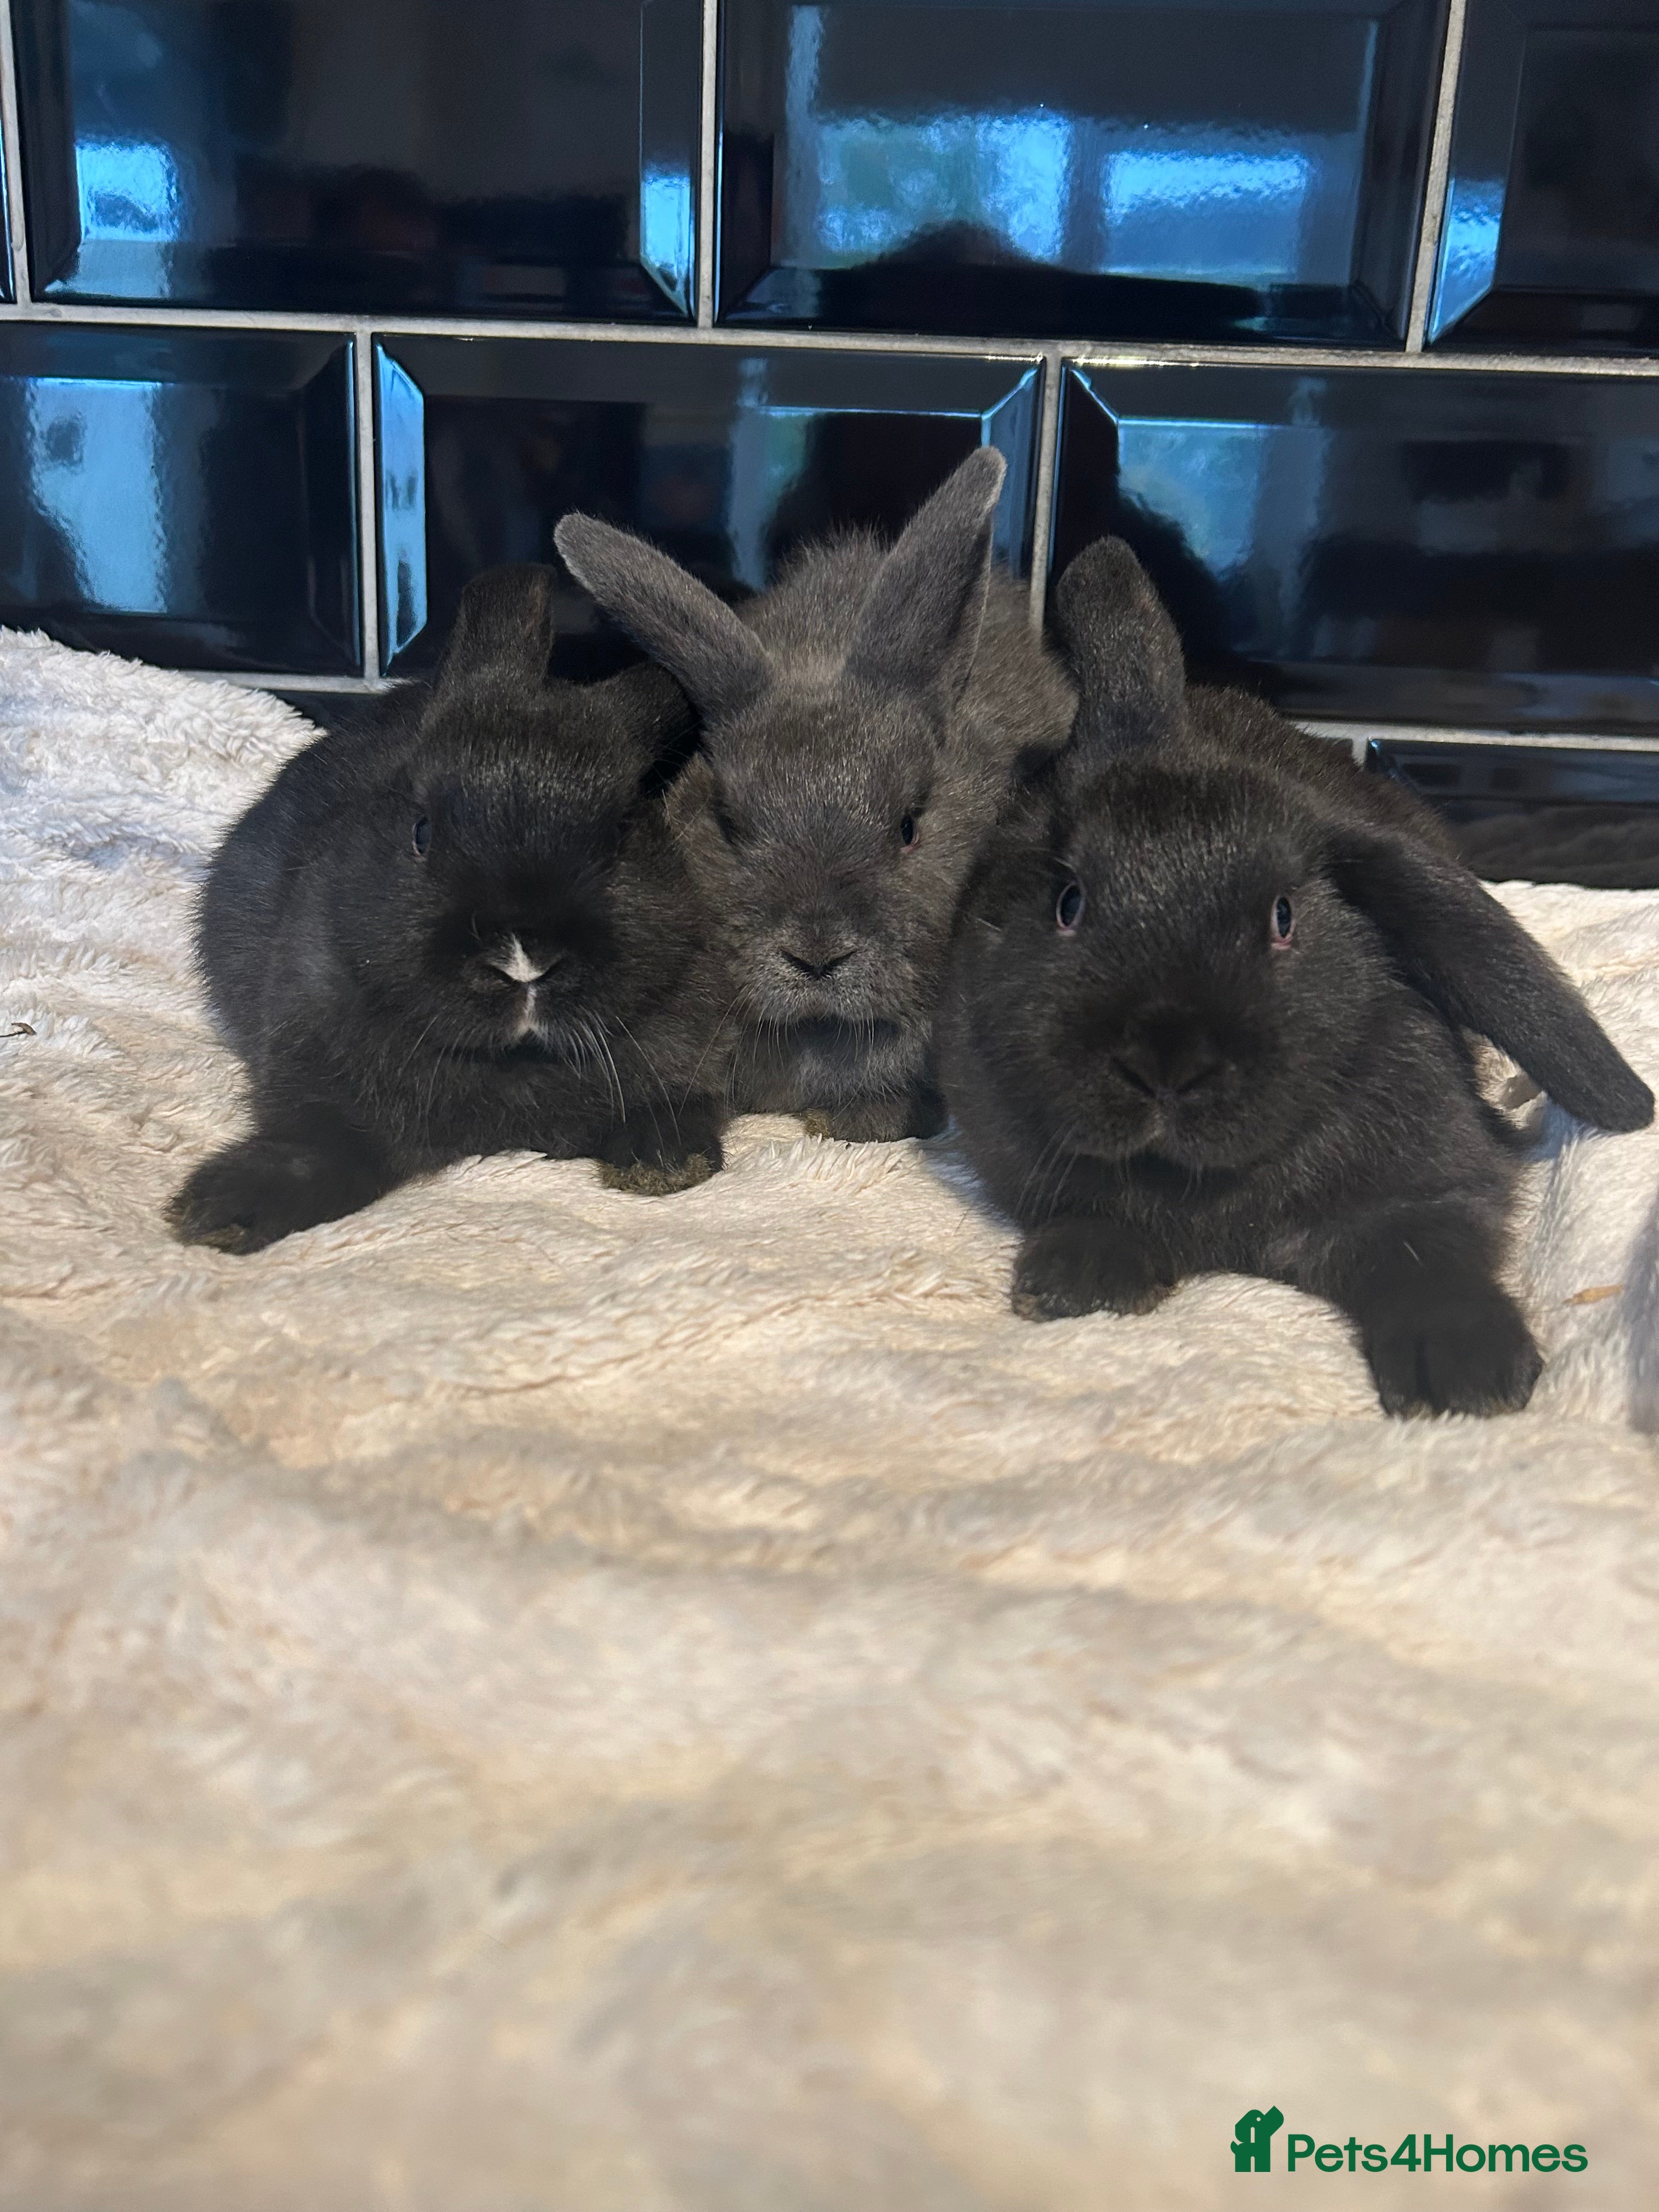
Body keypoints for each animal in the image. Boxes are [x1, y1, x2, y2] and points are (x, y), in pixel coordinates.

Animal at [167, 563, 731, 1254]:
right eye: (422, 831)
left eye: (621, 835)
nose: (523, 962)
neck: (514, 1062)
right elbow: (320, 1149)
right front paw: (221, 1210)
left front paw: (664, 1160)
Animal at [937, 536, 1655, 1417]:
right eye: (1068, 902)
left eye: (1284, 917)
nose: (1165, 1067)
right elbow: (1093, 1213)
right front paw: (1078, 1283)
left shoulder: (1429, 1192)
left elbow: (1431, 1252)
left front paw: (1467, 1372)